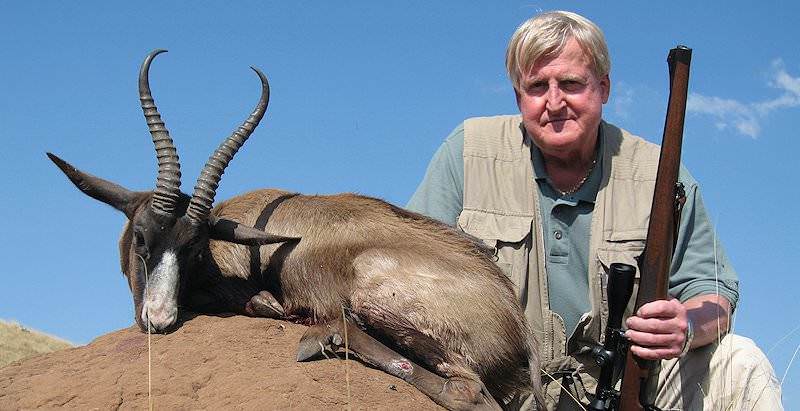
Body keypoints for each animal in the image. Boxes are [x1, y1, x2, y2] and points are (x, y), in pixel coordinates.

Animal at [50, 50, 544, 410]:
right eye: (142, 237)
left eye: (194, 249)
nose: (159, 319)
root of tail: (518, 326)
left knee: (466, 391)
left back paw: (321, 338)